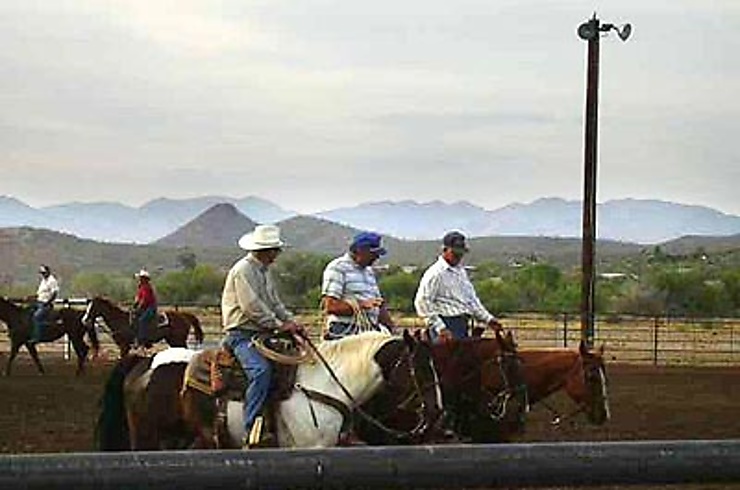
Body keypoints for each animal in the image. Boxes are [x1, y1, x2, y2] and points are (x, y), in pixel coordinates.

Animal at [97, 334, 446, 452]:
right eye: (419, 368)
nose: (437, 413)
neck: (325, 383)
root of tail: (142, 362)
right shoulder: (309, 447)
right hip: (146, 434)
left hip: (180, 436)